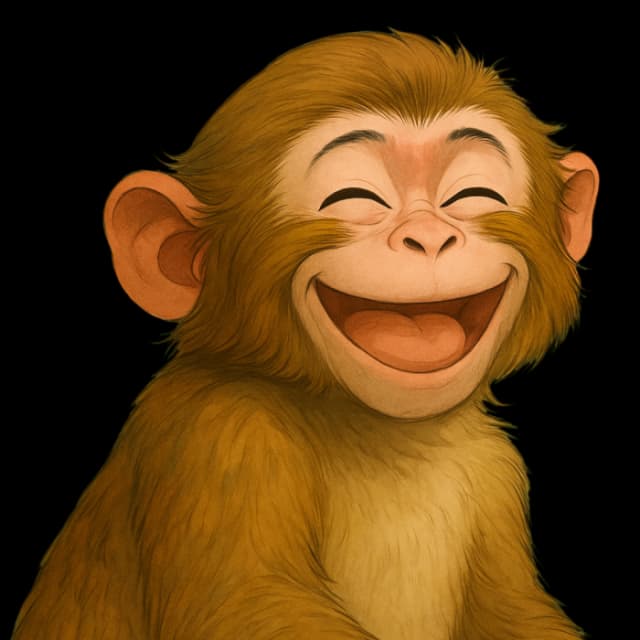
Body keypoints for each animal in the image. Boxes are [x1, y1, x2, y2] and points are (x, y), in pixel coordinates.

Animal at [13, 31, 598, 639]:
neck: (385, 435)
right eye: (354, 197)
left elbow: (515, 608)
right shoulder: (218, 436)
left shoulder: (498, 474)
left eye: (472, 195)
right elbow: (248, 605)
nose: (429, 236)